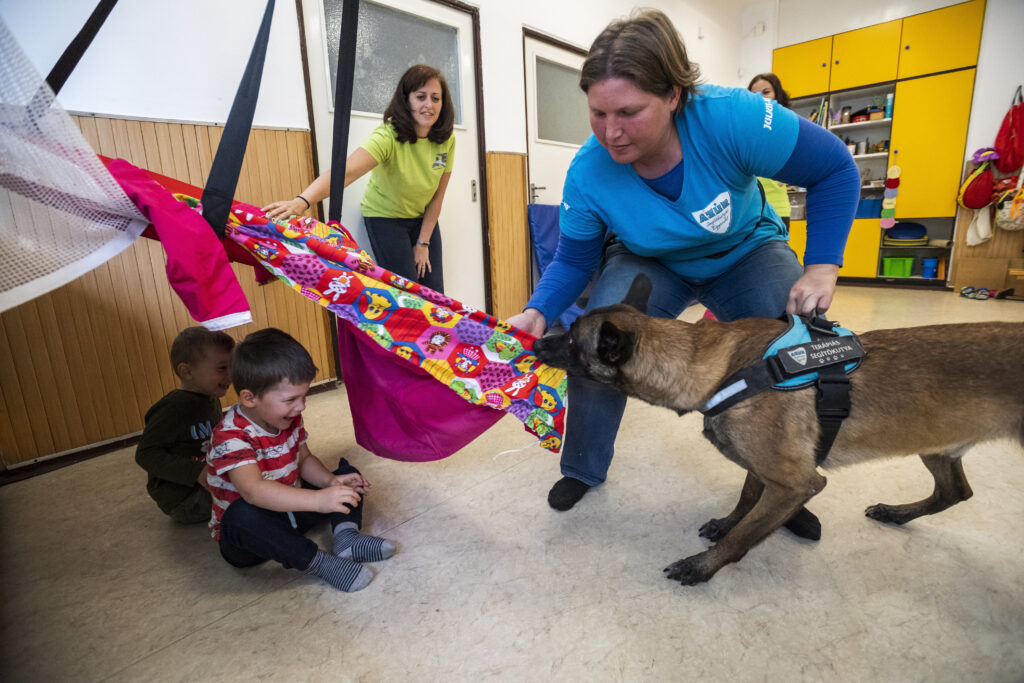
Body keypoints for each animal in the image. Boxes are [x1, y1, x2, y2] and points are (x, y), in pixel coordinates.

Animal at [532, 274, 1024, 585]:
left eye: (571, 339)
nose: (536, 341)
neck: (714, 366)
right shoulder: (766, 469)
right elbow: (747, 498)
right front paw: (726, 522)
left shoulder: (796, 484)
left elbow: (745, 535)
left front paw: (703, 567)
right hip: (937, 446)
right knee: (955, 492)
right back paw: (896, 514)